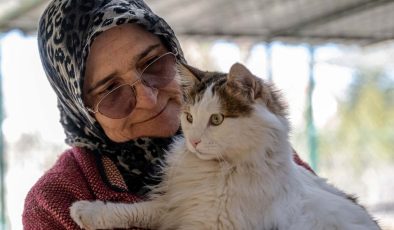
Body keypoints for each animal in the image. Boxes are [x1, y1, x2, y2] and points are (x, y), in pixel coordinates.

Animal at [69, 63, 380, 230]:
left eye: (217, 119)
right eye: (189, 117)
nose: (193, 141)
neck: (222, 170)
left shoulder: (210, 223)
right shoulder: (185, 204)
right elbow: (141, 209)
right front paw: (89, 211)